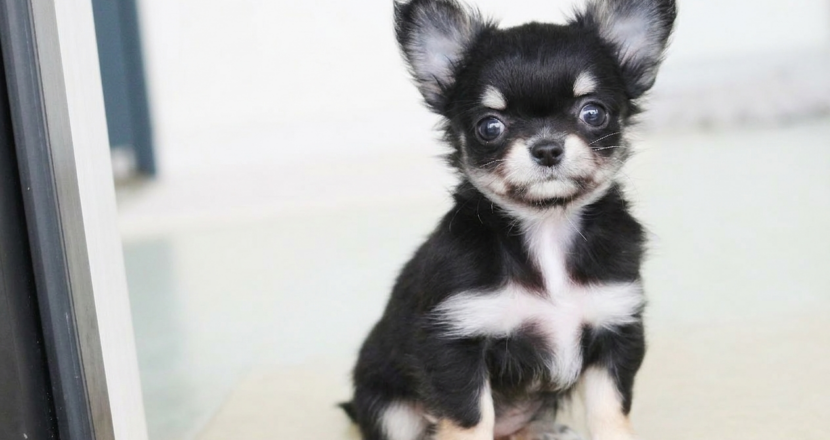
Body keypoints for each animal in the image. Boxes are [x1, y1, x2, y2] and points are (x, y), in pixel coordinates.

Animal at [342, 1, 676, 439]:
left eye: (593, 113)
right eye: (489, 126)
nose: (547, 148)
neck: (547, 227)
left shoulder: (614, 328)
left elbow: (610, 413)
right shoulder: (455, 346)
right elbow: (471, 421)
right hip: (390, 408)